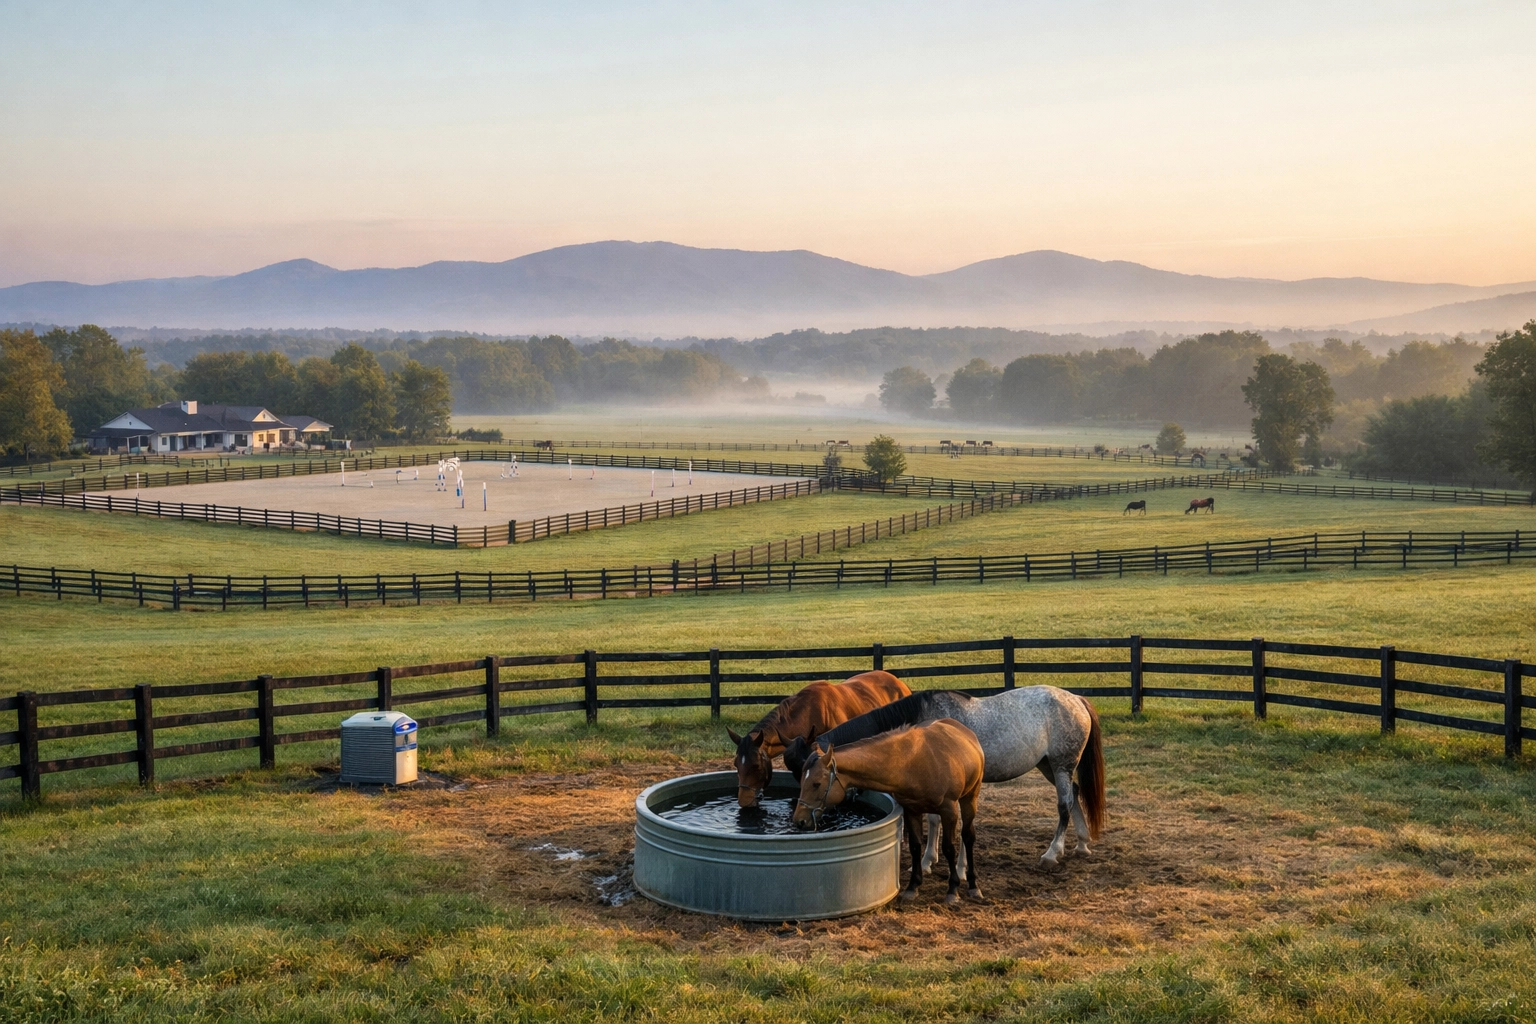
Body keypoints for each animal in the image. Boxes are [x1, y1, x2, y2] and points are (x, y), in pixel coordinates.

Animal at [784, 685, 1105, 870]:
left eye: (814, 781)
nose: (800, 821)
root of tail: (1076, 699)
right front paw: (933, 858)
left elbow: (936, 820)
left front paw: (929, 861)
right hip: (1048, 766)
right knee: (1075, 793)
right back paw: (1082, 843)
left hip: (1061, 765)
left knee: (1064, 805)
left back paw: (1052, 853)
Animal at [793, 719, 984, 904]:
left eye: (816, 784)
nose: (798, 820)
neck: (912, 762)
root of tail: (966, 733)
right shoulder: (911, 810)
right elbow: (915, 846)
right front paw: (912, 887)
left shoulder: (948, 810)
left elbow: (949, 848)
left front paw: (953, 890)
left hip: (969, 798)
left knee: (968, 836)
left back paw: (972, 884)